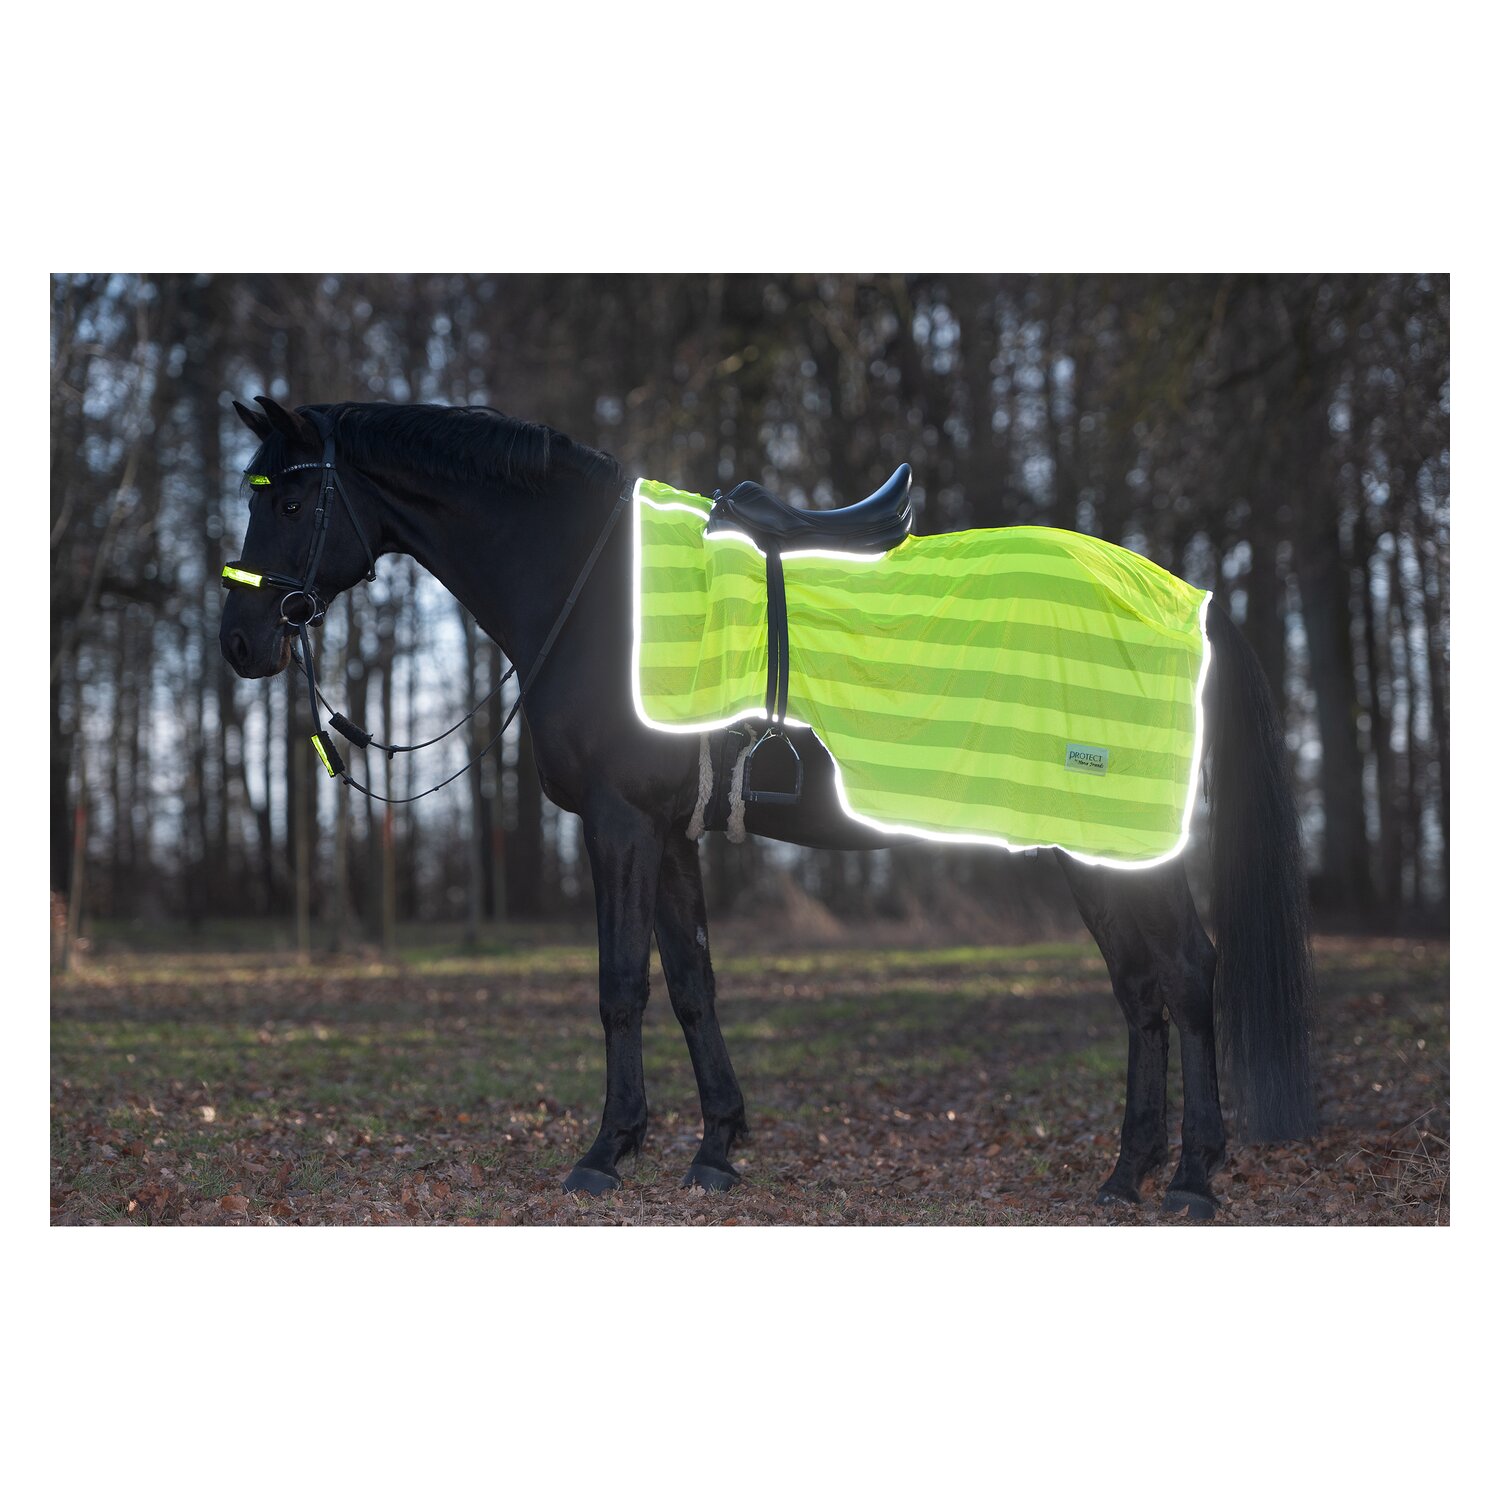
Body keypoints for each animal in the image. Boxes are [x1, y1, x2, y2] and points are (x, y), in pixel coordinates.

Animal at [219, 396, 1317, 1220]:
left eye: (293, 498)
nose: (240, 642)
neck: (588, 584)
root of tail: (1189, 599)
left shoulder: (618, 824)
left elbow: (621, 985)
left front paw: (605, 1152)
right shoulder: (668, 834)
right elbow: (693, 983)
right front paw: (714, 1147)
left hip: (1120, 841)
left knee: (1187, 976)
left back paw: (1190, 1179)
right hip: (1088, 845)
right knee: (1141, 992)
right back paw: (1127, 1174)